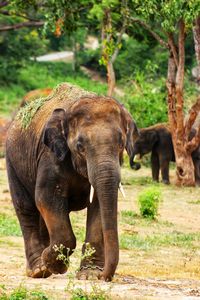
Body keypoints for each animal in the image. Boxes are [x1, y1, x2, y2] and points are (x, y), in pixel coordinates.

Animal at [5, 82, 138, 282]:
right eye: (80, 147)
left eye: (121, 144)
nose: (104, 277)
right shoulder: (50, 155)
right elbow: (46, 198)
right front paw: (53, 263)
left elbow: (98, 205)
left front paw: (89, 275)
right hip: (13, 162)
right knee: (26, 208)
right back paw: (38, 269)